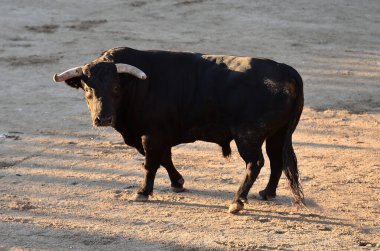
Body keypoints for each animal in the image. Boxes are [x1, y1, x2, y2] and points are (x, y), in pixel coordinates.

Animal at [53, 46, 304, 213]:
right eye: (87, 89)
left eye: (116, 87)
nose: (102, 119)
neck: (137, 87)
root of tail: (286, 71)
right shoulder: (158, 136)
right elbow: (165, 158)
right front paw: (177, 183)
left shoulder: (151, 135)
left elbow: (151, 164)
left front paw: (143, 192)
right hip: (277, 134)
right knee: (276, 160)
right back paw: (267, 193)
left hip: (248, 136)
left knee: (256, 163)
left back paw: (237, 201)